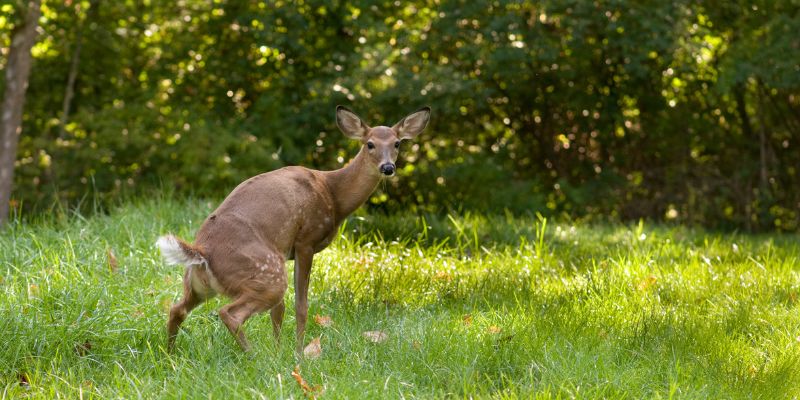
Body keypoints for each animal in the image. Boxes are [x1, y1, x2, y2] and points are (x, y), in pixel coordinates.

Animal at [156, 105, 431, 354]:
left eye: (397, 143)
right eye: (370, 144)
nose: (388, 168)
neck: (333, 195)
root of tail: (201, 252)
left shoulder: (286, 249)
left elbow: (279, 311)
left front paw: (280, 352)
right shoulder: (306, 238)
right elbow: (301, 306)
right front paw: (298, 354)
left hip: (199, 284)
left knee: (176, 309)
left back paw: (170, 355)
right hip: (267, 274)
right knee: (229, 313)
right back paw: (253, 356)